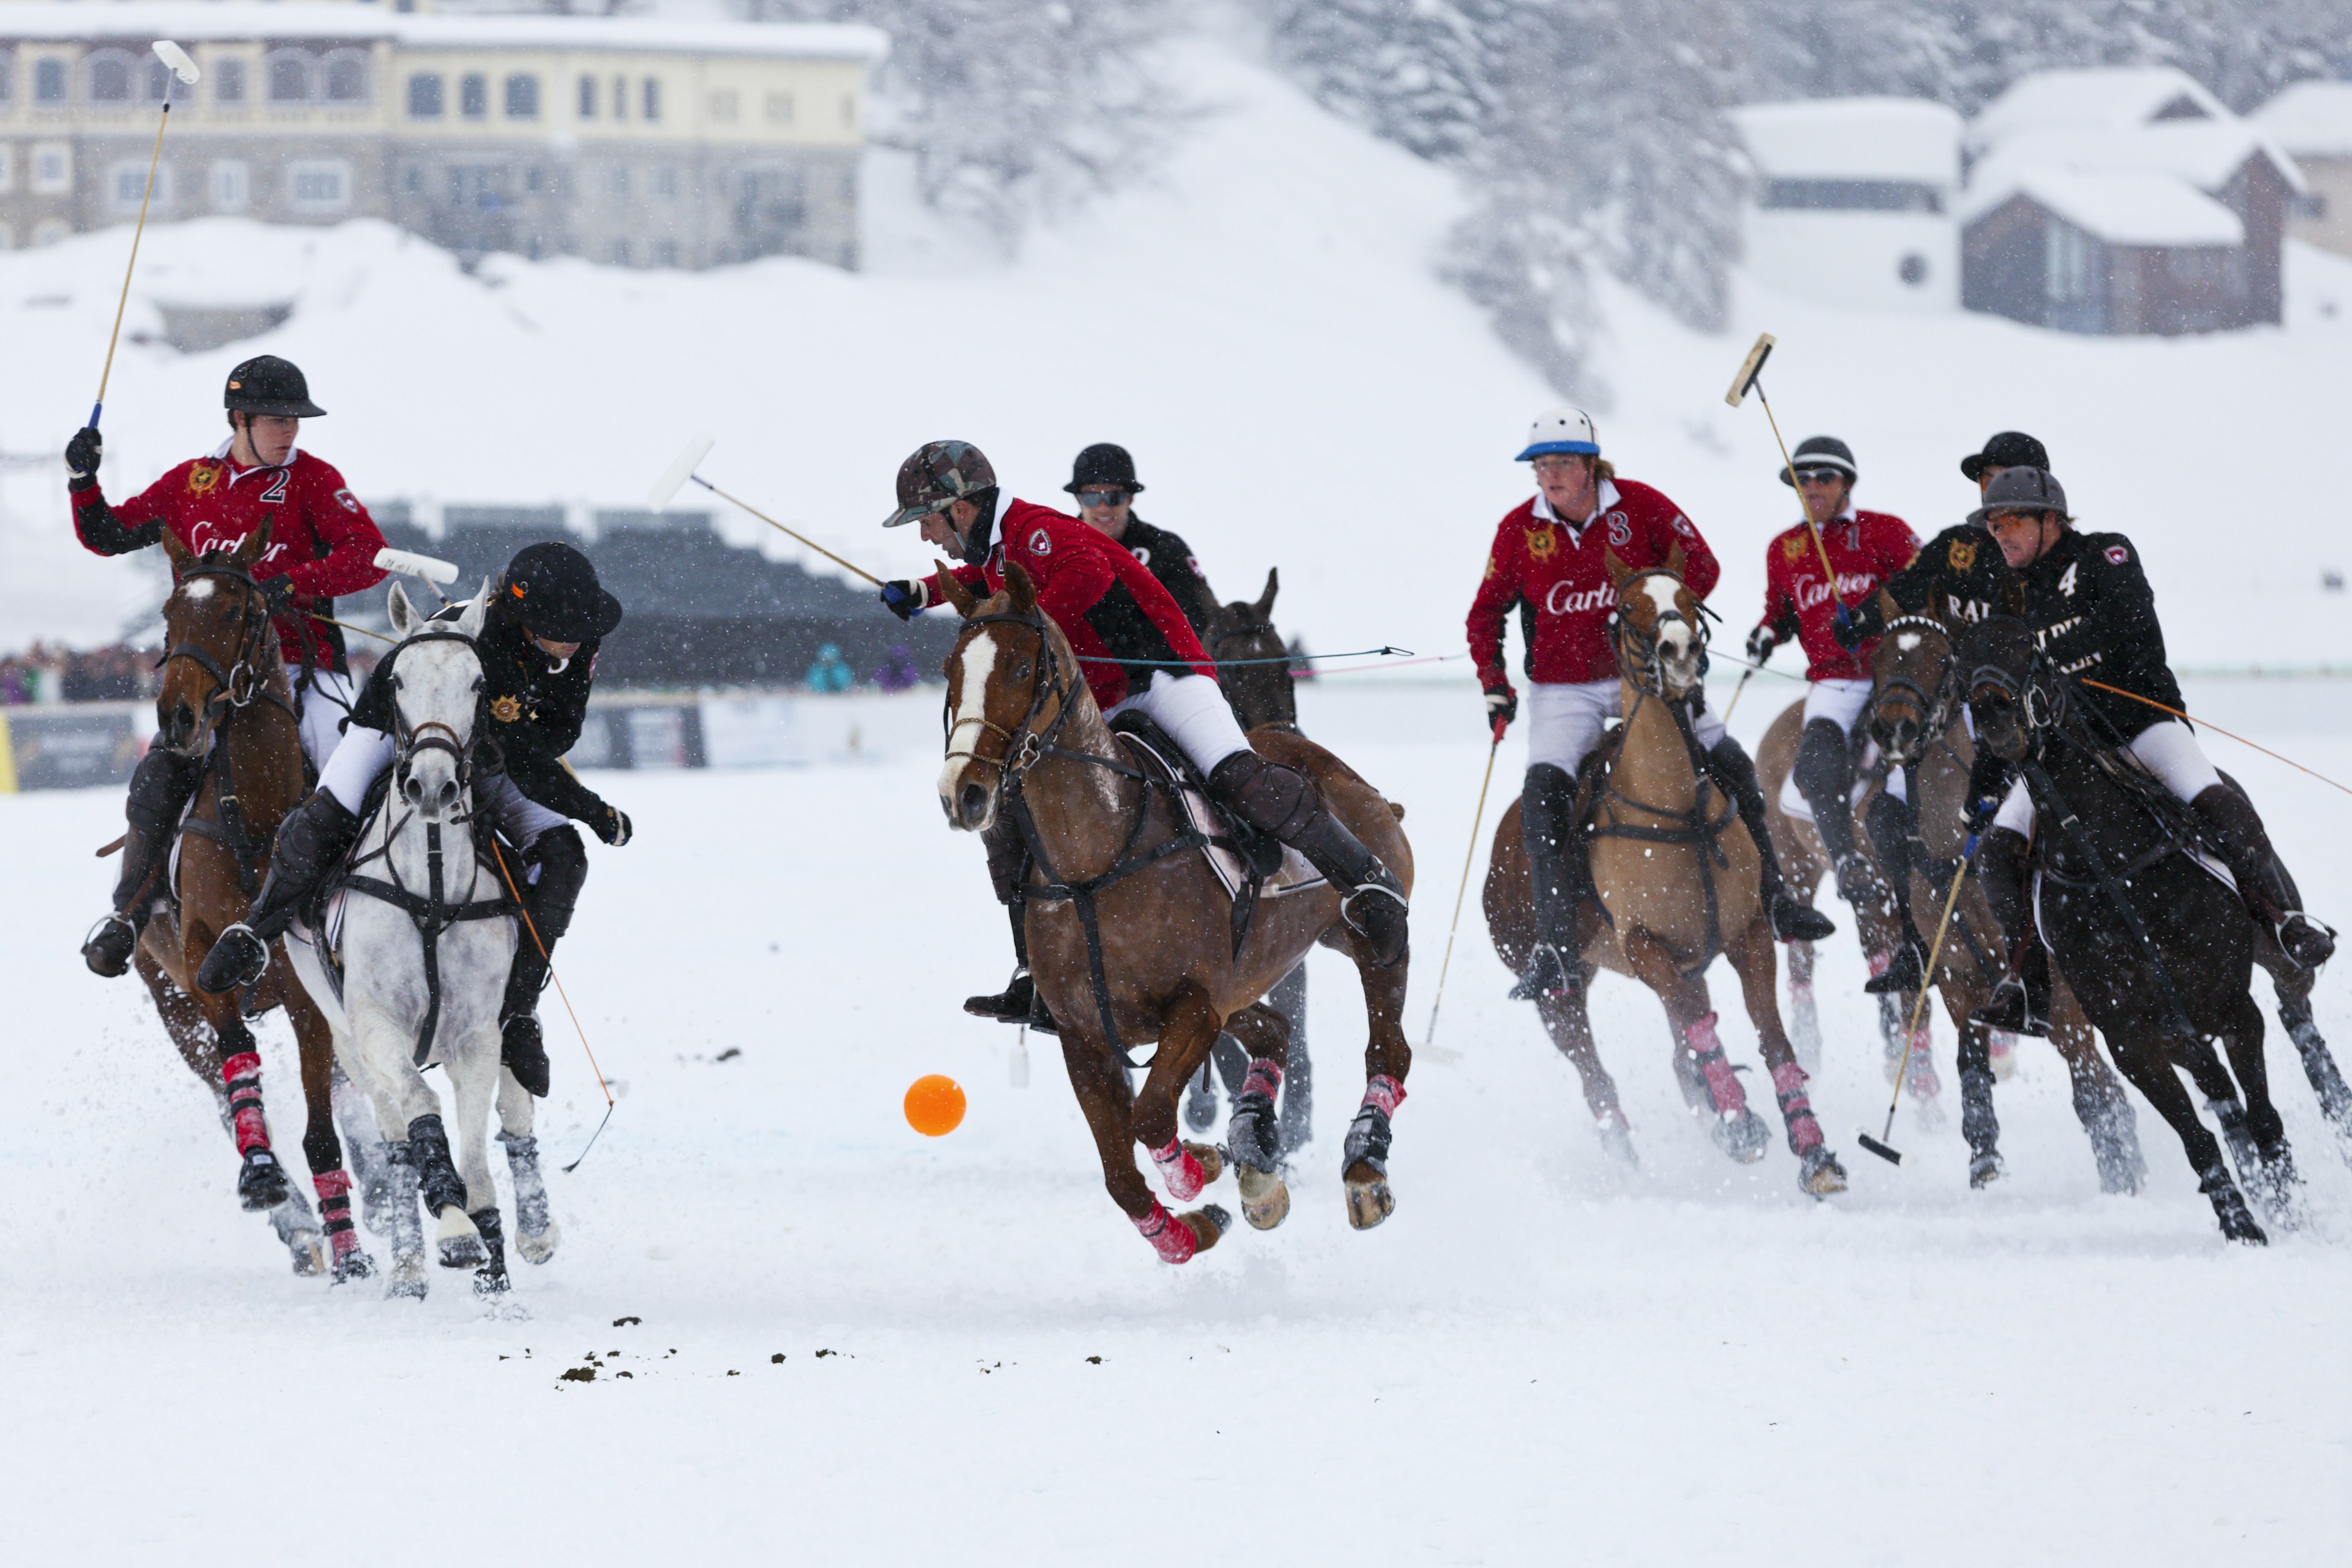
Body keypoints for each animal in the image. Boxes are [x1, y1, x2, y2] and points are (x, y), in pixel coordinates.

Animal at [126, 522, 376, 1278]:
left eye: (240, 611)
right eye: (170, 613)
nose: (177, 717)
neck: (260, 817)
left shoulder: (306, 996)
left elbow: (324, 1130)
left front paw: (351, 1251)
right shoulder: (203, 963)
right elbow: (240, 1059)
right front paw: (264, 1175)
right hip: (169, 1003)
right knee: (220, 1091)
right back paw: (293, 1220)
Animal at [282, 576, 552, 1297]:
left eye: (478, 683)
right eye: (396, 678)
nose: (431, 784)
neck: (430, 890)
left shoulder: (478, 1032)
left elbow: (478, 1155)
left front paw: (492, 1261)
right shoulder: (375, 1022)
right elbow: (419, 1108)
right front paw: (452, 1226)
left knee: (518, 1106)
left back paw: (533, 1231)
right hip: (341, 1033)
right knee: (395, 1134)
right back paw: (406, 1263)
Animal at [936, 564, 1411, 1260]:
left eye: (1024, 667)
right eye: (950, 669)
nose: (962, 793)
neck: (1096, 859)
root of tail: (1333, 765)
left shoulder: (1195, 1006)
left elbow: (1153, 1114)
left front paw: (1199, 1167)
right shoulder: (1084, 1036)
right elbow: (1120, 1175)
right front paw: (1192, 1224)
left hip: (1357, 939)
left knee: (1389, 1043)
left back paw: (1363, 1167)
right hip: (1247, 984)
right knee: (1274, 1031)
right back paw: (1254, 1163)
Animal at [1863, 595, 2145, 1194]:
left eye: (1943, 659)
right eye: (1877, 656)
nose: (1895, 726)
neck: (1960, 848)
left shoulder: (2063, 992)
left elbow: (2093, 1085)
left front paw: (2122, 1174)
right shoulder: (1955, 976)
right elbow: (1972, 1067)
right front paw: (1985, 1162)